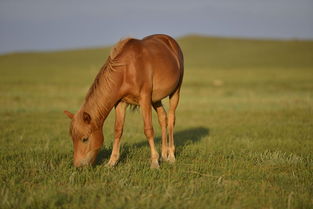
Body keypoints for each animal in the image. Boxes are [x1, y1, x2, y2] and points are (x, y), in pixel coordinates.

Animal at [64, 34, 184, 168]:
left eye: (85, 139)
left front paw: (154, 162)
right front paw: (111, 162)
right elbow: (118, 130)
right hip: (156, 99)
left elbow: (148, 129)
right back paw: (164, 155)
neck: (127, 69)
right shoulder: (120, 103)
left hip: (175, 92)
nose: (78, 165)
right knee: (163, 118)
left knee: (171, 119)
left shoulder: (144, 99)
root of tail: (170, 41)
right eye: (72, 138)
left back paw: (171, 156)